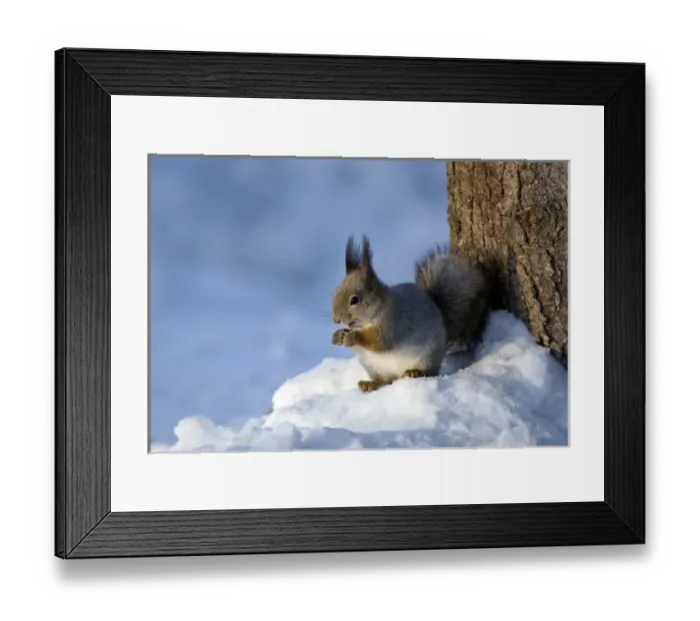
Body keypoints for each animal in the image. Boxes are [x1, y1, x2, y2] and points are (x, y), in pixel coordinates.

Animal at [331, 235, 491, 393]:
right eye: (336, 291)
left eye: (354, 300)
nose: (336, 319)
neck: (369, 319)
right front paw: (337, 336)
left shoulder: (393, 323)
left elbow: (379, 341)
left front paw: (353, 337)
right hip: (372, 366)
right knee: (386, 381)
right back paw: (370, 384)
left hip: (427, 357)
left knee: (430, 372)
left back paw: (414, 372)